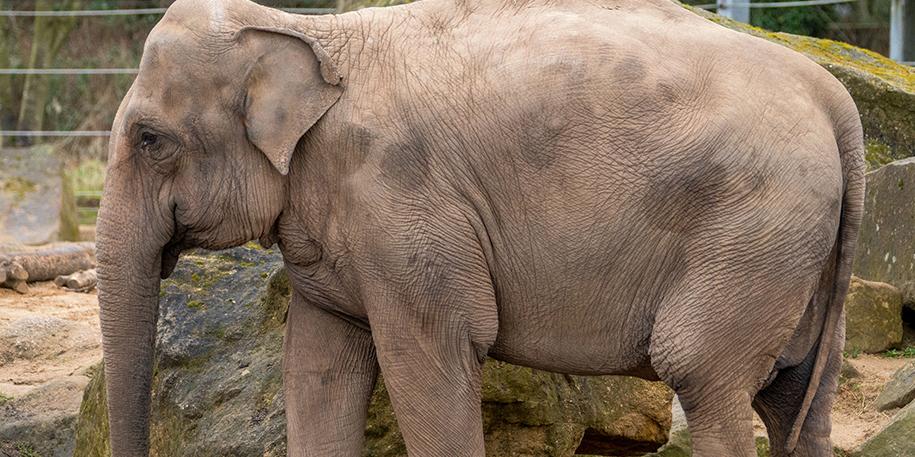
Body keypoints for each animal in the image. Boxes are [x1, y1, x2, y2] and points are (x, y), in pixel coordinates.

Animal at [96, 0, 868, 454]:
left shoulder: (402, 202)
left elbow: (430, 356)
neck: (317, 29)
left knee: (702, 374)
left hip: (751, 234)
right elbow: (319, 366)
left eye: (150, 140)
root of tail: (837, 102)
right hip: (798, 254)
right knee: (797, 397)